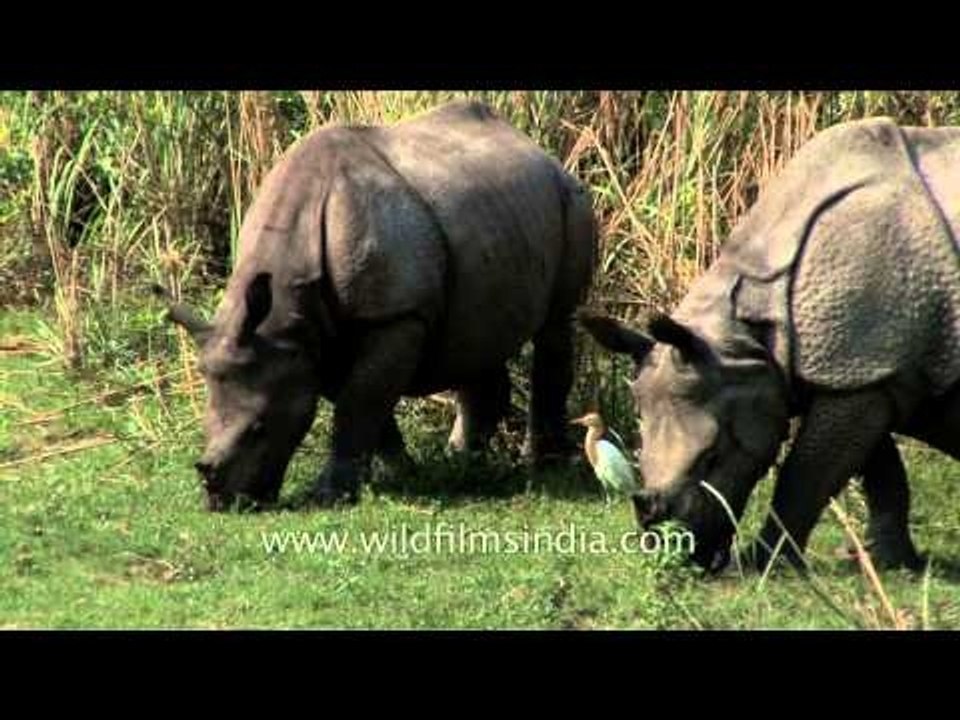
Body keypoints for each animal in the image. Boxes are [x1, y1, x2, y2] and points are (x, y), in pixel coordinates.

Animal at [157, 100, 596, 510]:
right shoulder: (312, 336)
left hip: (570, 199)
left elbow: (360, 400)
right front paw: (401, 473)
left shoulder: (394, 315)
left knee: (554, 325)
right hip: (495, 217)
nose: (225, 501)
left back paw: (541, 464)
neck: (284, 312)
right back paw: (462, 461)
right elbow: (363, 401)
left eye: (260, 427)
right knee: (476, 337)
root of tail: (538, 150)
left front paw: (330, 495)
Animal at [581, 117, 960, 572]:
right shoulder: (864, 367)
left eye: (714, 457)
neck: (748, 330)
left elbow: (808, 471)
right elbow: (878, 467)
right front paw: (891, 564)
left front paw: (764, 563)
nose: (676, 552)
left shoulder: (863, 365)